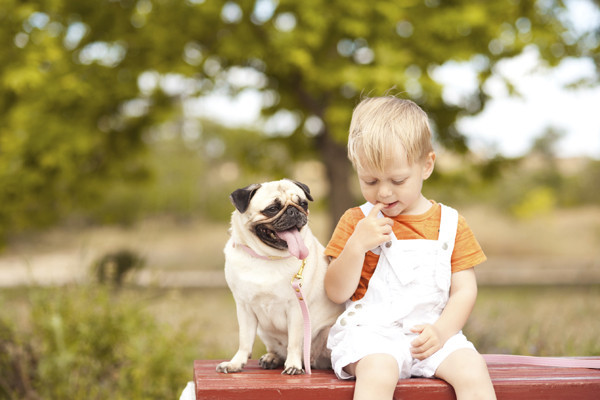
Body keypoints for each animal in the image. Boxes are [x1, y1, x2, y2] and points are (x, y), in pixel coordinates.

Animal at [218, 180, 344, 374]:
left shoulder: (296, 308)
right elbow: (244, 341)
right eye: (272, 209)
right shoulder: (244, 307)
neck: (266, 258)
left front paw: (293, 365)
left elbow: (294, 342)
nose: (294, 211)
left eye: (303, 204)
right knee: (276, 349)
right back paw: (272, 358)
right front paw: (235, 363)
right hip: (264, 332)